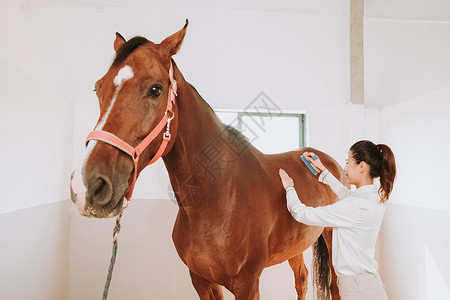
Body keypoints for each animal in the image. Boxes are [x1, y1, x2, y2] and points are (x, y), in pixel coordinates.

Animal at [70, 19, 344, 298]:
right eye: (98, 88)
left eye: (156, 89)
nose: (89, 185)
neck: (218, 198)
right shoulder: (201, 280)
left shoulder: (247, 284)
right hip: (295, 245)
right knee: (302, 279)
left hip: (333, 237)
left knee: (334, 284)